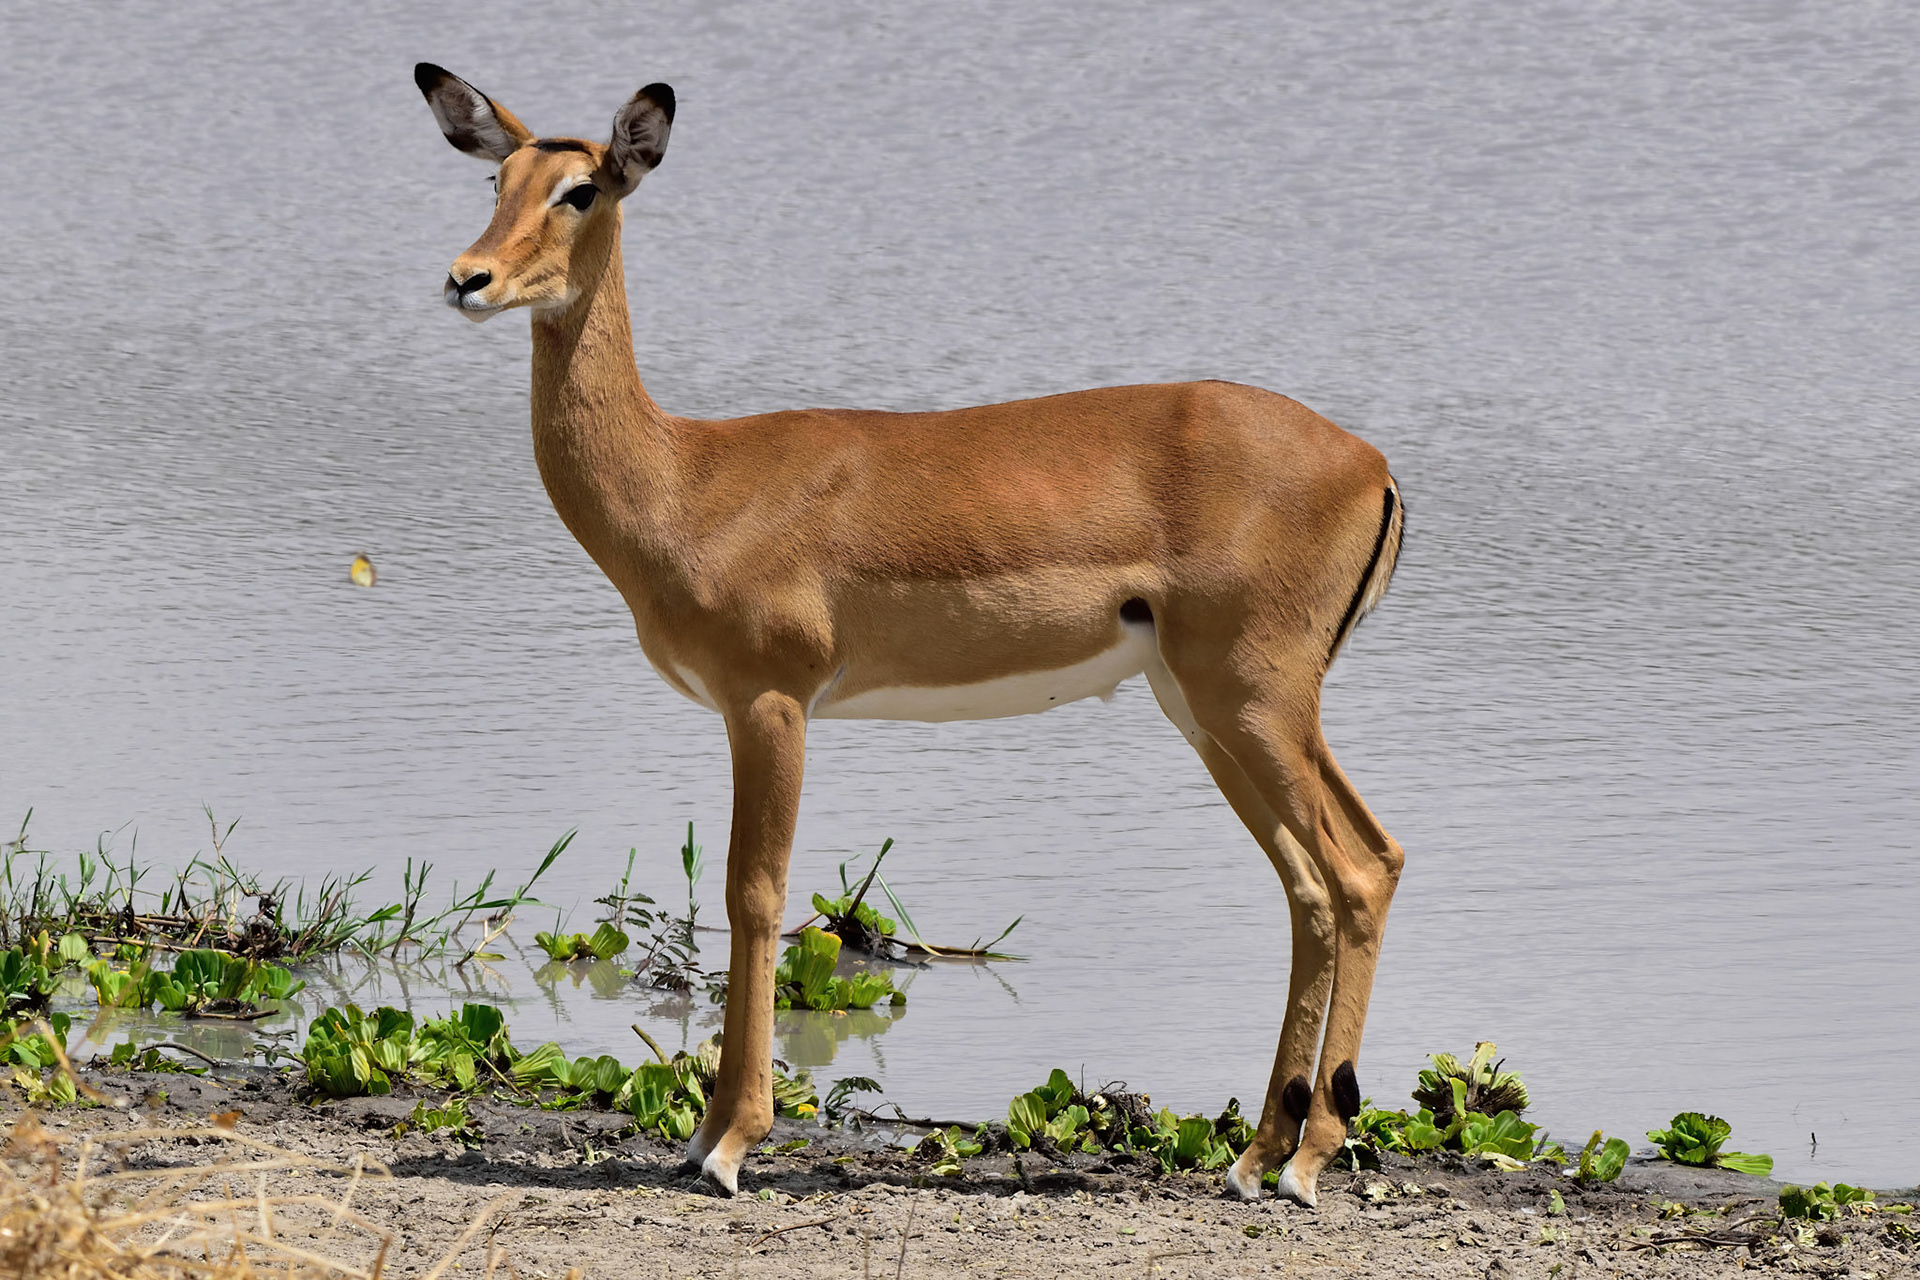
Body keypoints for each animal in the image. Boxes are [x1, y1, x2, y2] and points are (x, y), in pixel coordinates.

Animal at [413, 64, 1407, 1207]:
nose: (469, 278)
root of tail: (1372, 464)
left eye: (581, 188)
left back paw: (1309, 1159)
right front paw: (704, 1135)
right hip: (1209, 711)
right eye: (498, 178)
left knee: (1359, 870)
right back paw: (1257, 1154)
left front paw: (729, 1142)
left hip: (1256, 698)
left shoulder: (772, 701)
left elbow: (754, 894)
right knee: (1318, 883)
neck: (688, 481)